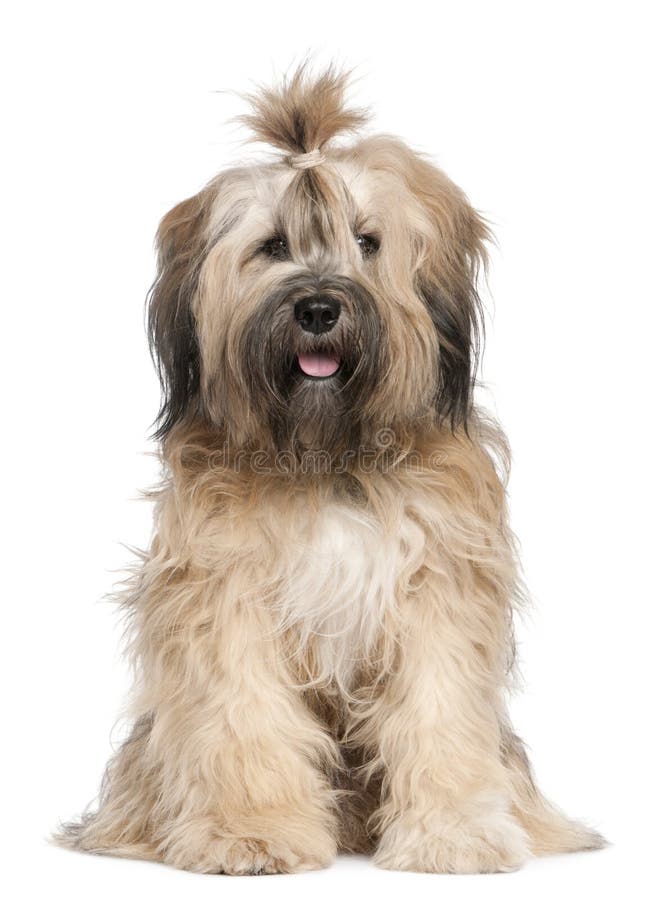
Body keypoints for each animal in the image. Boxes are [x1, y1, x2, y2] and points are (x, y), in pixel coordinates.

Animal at [58, 63, 604, 872]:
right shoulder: (225, 598)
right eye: (274, 245)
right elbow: (243, 714)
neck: (324, 455)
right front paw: (250, 833)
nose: (318, 307)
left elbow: (440, 712)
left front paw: (454, 835)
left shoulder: (437, 591)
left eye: (366, 242)